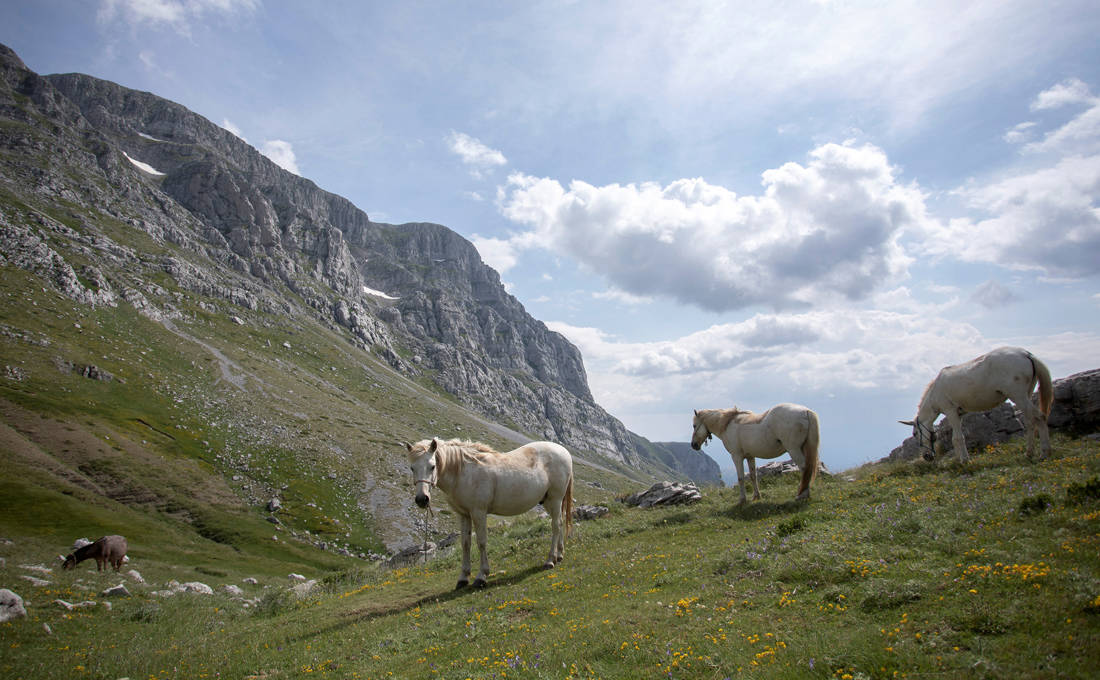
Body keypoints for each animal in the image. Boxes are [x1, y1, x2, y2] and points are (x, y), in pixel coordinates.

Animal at [407, 437, 576, 585]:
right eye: (412, 468)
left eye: (432, 466)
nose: (422, 499)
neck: (463, 472)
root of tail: (564, 451)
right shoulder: (464, 515)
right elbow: (465, 543)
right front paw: (463, 578)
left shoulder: (478, 512)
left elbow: (481, 542)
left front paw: (481, 576)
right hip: (548, 502)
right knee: (560, 523)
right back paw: (559, 555)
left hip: (555, 499)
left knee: (555, 526)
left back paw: (550, 560)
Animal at [690, 402, 822, 503]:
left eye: (694, 425)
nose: (693, 445)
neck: (727, 424)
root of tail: (806, 411)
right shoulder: (750, 457)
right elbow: (753, 476)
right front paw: (756, 497)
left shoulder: (736, 457)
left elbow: (741, 478)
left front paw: (742, 500)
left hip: (794, 449)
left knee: (805, 468)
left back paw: (802, 495)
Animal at [902, 343, 1056, 459]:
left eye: (915, 434)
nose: (927, 457)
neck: (935, 390)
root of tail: (1026, 354)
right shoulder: (959, 414)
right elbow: (960, 437)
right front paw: (964, 459)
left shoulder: (951, 412)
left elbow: (957, 438)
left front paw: (963, 462)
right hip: (1026, 395)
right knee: (1032, 421)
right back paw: (1033, 453)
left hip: (1018, 396)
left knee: (1038, 417)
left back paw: (1042, 453)